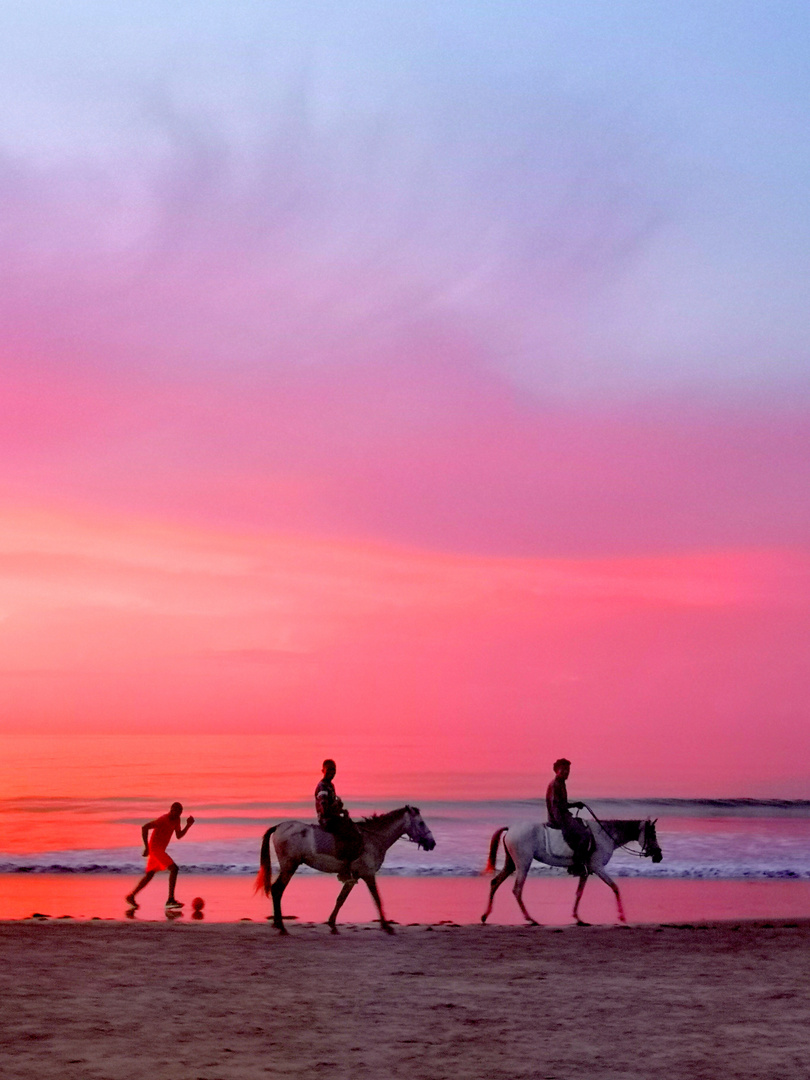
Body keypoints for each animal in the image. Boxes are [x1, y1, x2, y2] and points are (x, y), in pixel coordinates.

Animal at [258, 807, 438, 933]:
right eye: (421, 823)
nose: (432, 843)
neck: (373, 839)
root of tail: (279, 826)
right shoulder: (368, 875)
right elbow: (377, 898)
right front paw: (387, 926)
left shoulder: (354, 877)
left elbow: (341, 899)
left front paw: (331, 923)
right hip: (290, 866)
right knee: (277, 890)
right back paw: (281, 926)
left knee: (276, 890)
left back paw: (278, 924)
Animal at [481, 812, 660, 924]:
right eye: (652, 835)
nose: (659, 856)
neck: (605, 835)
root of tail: (511, 828)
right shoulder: (598, 867)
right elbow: (615, 887)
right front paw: (622, 916)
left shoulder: (586, 872)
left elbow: (579, 893)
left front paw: (577, 918)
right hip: (523, 863)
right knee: (517, 889)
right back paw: (530, 919)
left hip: (511, 864)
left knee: (495, 883)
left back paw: (485, 915)